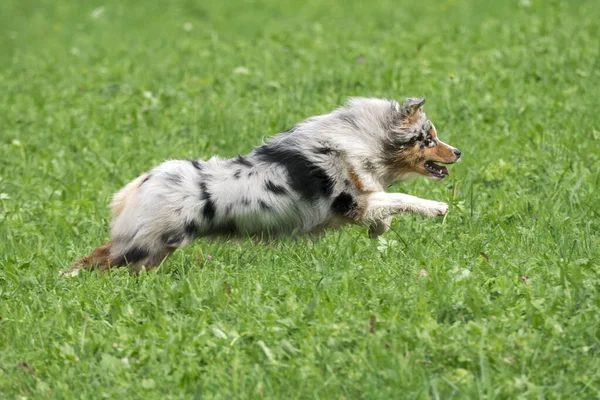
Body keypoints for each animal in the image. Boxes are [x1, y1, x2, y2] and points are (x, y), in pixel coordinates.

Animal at [64, 97, 460, 276]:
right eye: (428, 139)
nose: (458, 151)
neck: (365, 138)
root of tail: (141, 183)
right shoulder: (352, 204)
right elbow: (400, 197)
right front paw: (438, 209)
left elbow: (387, 206)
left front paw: (380, 231)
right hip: (142, 248)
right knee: (97, 262)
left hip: (149, 250)